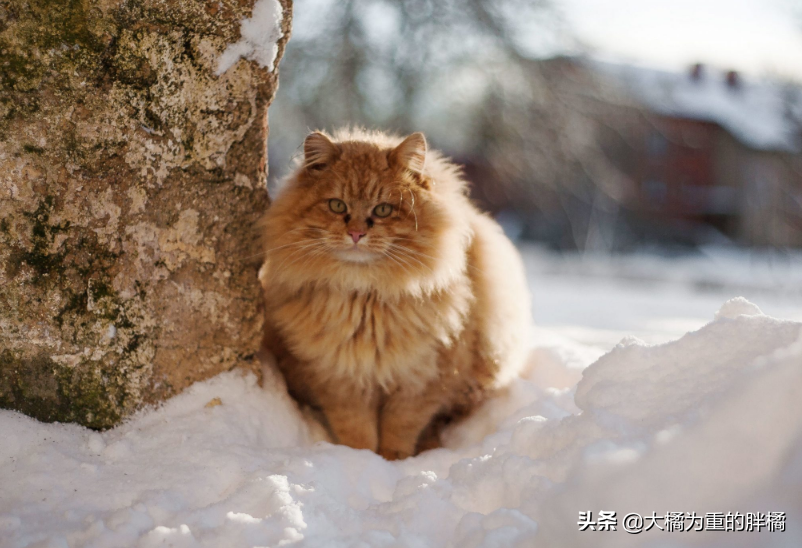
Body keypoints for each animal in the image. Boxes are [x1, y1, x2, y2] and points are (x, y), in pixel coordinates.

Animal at [258, 128, 532, 458]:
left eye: (383, 210)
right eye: (337, 206)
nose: (356, 233)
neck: (366, 297)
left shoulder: (422, 380)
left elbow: (399, 429)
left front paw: (393, 461)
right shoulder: (339, 380)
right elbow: (358, 432)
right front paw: (362, 459)